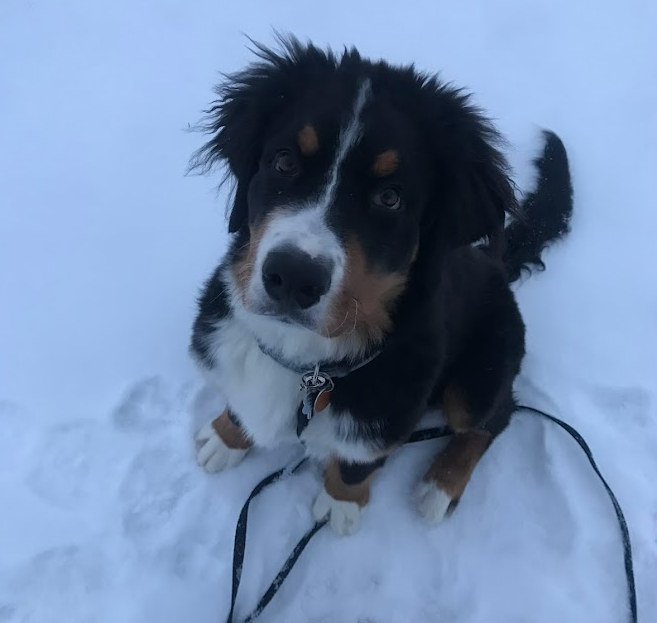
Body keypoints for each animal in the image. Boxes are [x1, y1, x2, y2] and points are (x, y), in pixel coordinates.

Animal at [187, 37, 572, 536]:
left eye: (390, 197)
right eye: (284, 162)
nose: (292, 278)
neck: (308, 366)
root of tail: (491, 258)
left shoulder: (389, 417)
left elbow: (359, 463)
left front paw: (341, 502)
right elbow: (238, 404)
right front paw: (225, 438)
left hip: (480, 372)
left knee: (494, 417)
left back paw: (440, 486)